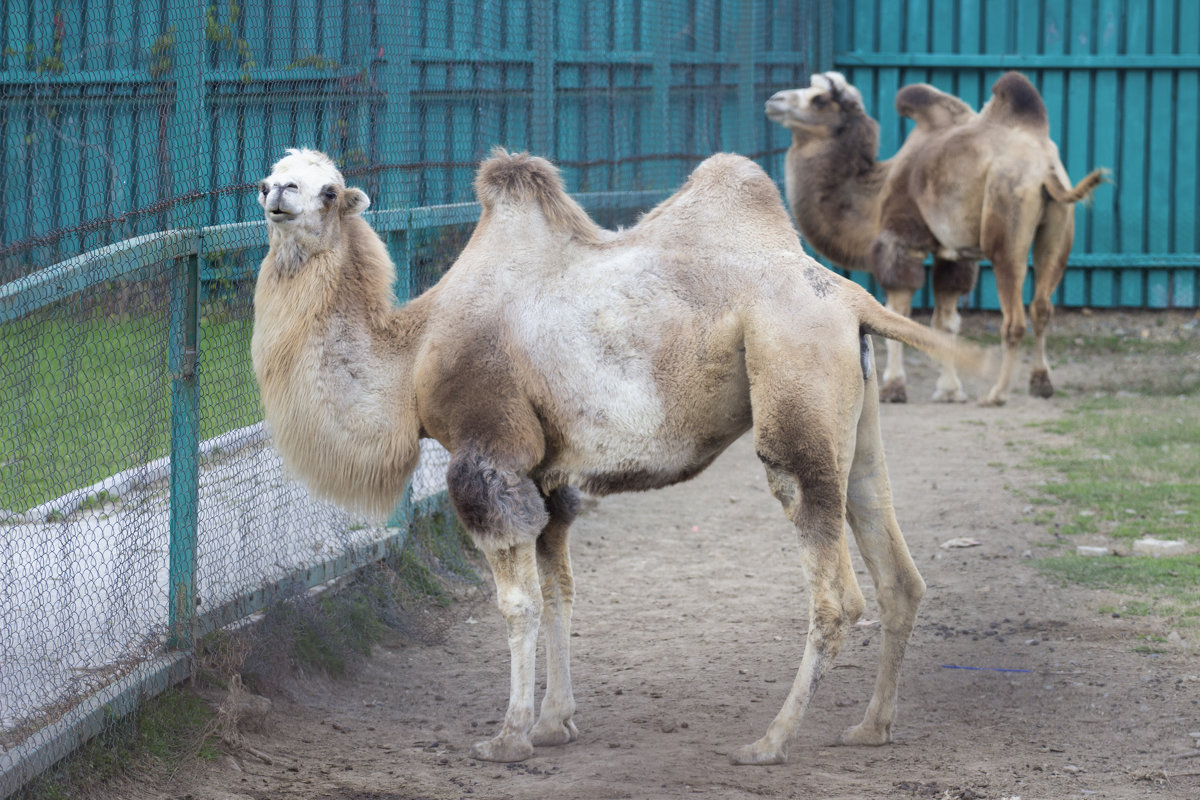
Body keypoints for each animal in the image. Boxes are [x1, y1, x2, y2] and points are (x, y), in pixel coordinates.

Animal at [250, 146, 984, 767]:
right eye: (277, 173)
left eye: (329, 189)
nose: (276, 193)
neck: (411, 355)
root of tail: (852, 296)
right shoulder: (547, 476)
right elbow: (559, 592)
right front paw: (555, 722)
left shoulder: (488, 456)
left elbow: (516, 604)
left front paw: (509, 737)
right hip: (854, 420)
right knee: (897, 572)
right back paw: (871, 727)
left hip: (794, 395)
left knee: (836, 596)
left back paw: (769, 742)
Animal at [768, 70, 1104, 407]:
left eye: (820, 99)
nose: (774, 100)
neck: (876, 193)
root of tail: (1044, 167)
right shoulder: (951, 255)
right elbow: (945, 322)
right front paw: (949, 390)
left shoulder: (901, 241)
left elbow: (899, 313)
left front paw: (894, 387)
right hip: (1058, 229)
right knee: (1042, 307)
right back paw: (1041, 383)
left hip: (1006, 226)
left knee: (1014, 319)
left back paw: (997, 393)